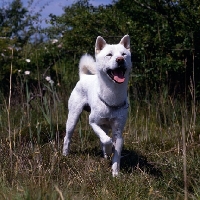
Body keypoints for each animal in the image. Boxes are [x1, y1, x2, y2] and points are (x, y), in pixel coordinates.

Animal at [62, 35, 131, 176]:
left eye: (124, 54)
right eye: (109, 55)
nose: (120, 60)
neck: (112, 97)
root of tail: (83, 77)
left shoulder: (118, 132)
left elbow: (116, 154)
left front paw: (115, 174)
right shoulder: (93, 122)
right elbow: (106, 140)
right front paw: (109, 150)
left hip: (105, 126)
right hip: (73, 118)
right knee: (67, 137)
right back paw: (65, 155)